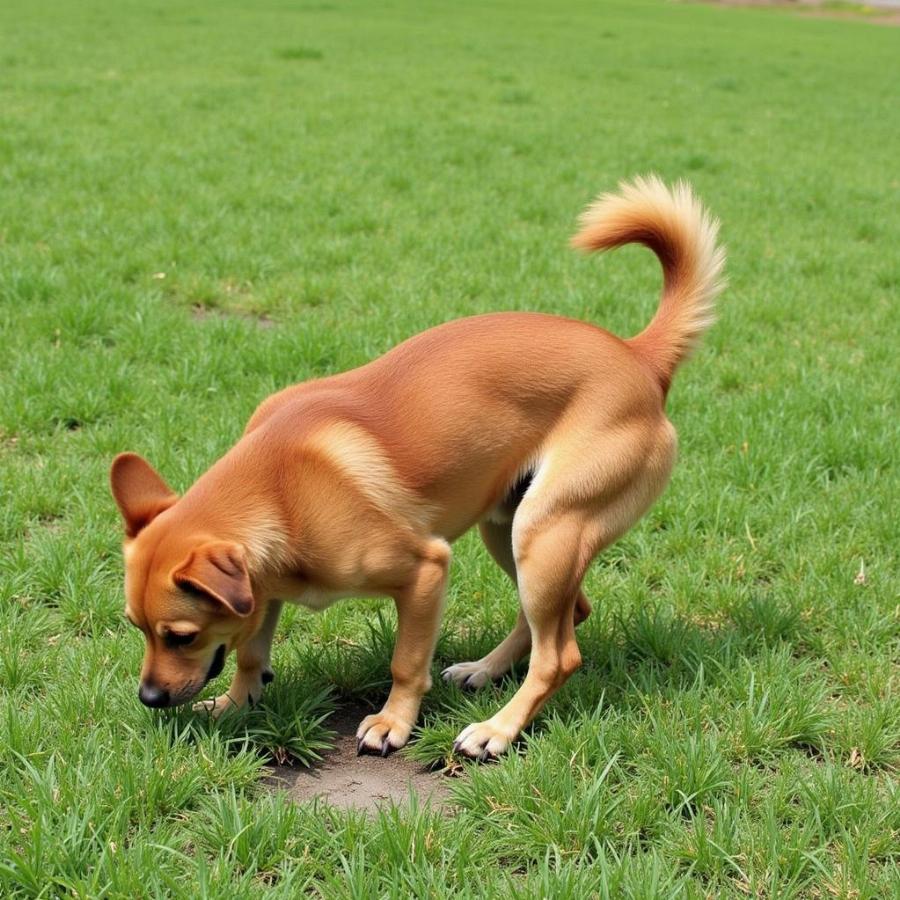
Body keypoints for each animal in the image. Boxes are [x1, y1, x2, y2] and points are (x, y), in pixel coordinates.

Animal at [110, 176, 724, 760]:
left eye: (180, 635)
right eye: (137, 627)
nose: (149, 698)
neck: (279, 488)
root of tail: (638, 356)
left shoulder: (425, 571)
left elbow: (405, 663)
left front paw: (392, 724)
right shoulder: (263, 592)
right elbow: (249, 650)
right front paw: (237, 702)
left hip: (546, 530)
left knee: (559, 656)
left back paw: (497, 731)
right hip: (510, 528)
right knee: (570, 613)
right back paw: (484, 670)